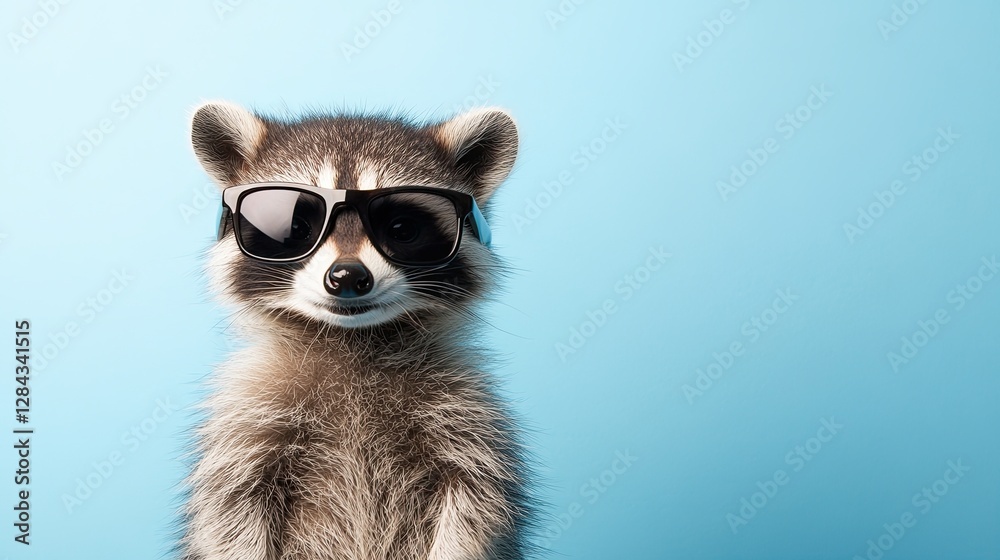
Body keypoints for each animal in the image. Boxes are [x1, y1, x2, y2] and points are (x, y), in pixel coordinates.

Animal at [181, 101, 534, 560]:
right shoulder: (246, 420)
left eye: (401, 229)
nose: (347, 276)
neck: (353, 337)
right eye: (296, 229)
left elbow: (475, 507)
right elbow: (229, 513)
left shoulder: (466, 415)